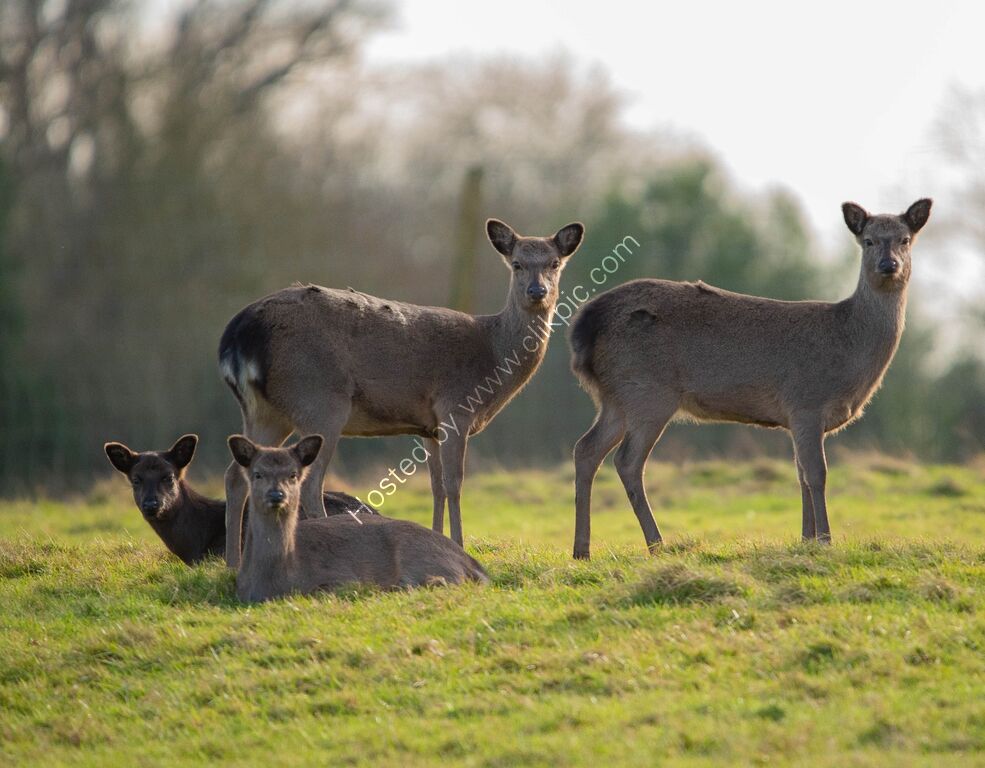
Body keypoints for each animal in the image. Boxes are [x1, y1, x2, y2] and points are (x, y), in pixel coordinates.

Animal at [218, 218, 584, 568]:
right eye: (517, 263)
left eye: (554, 263)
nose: (538, 291)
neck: (493, 355)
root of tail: (238, 334)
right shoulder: (456, 406)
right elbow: (454, 483)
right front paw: (460, 544)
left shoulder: (429, 427)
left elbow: (437, 487)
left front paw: (439, 540)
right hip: (319, 398)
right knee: (309, 482)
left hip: (265, 410)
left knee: (237, 474)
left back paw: (233, 561)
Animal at [228, 434, 489, 602]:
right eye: (257, 474)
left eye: (293, 474)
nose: (276, 495)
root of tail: (475, 565)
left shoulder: (342, 577)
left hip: (420, 554)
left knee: (443, 580)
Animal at [567, 198, 932, 559]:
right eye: (868, 241)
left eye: (905, 239)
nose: (889, 265)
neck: (850, 352)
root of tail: (585, 324)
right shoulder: (806, 402)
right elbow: (817, 474)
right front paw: (826, 540)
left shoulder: (793, 418)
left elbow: (800, 474)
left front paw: (806, 539)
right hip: (648, 390)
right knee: (627, 461)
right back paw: (657, 544)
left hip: (616, 398)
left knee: (586, 449)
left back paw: (582, 549)